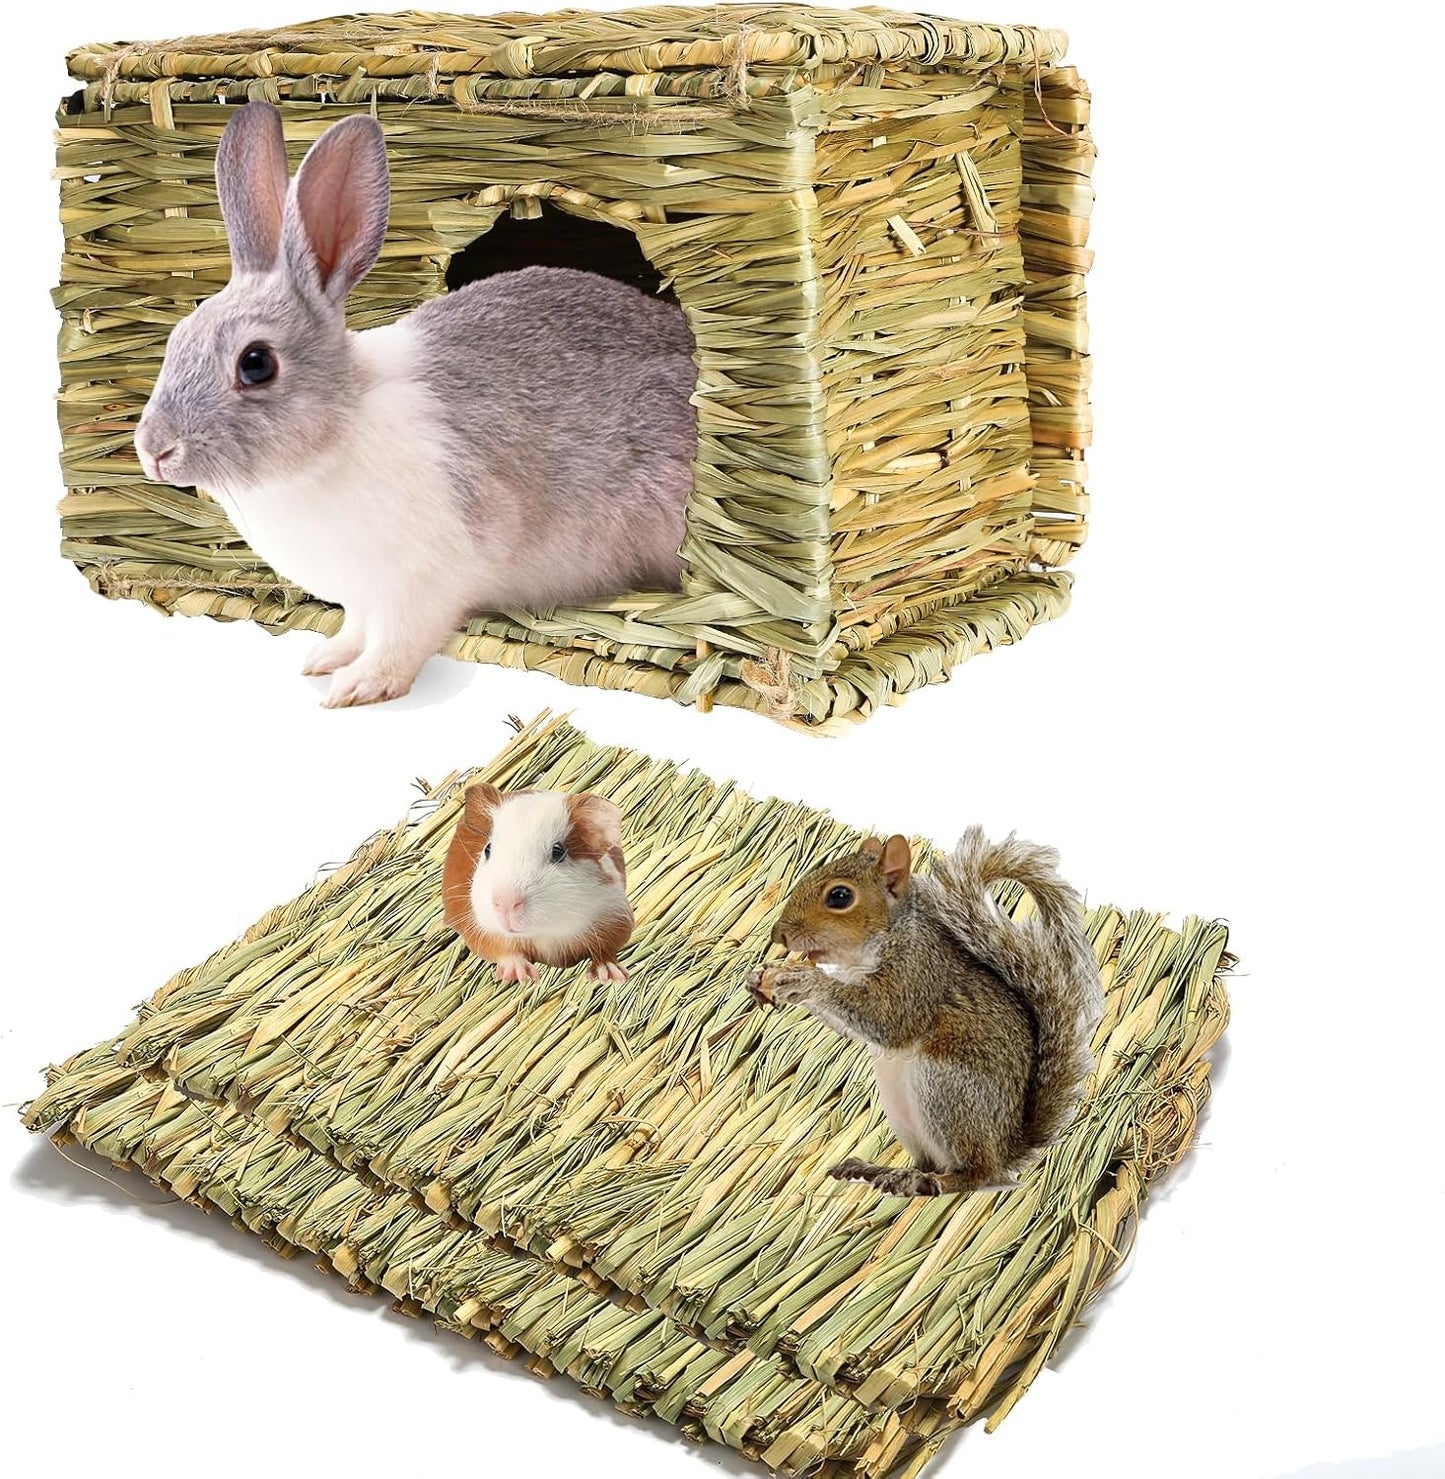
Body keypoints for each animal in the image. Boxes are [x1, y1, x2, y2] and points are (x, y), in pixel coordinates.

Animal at [133, 101, 698, 707]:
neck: (337, 433)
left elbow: (399, 642)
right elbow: (356, 627)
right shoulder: (364, 596)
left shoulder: (424, 584)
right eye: (176, 338)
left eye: (256, 363)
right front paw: (324, 659)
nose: (154, 451)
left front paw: (358, 688)